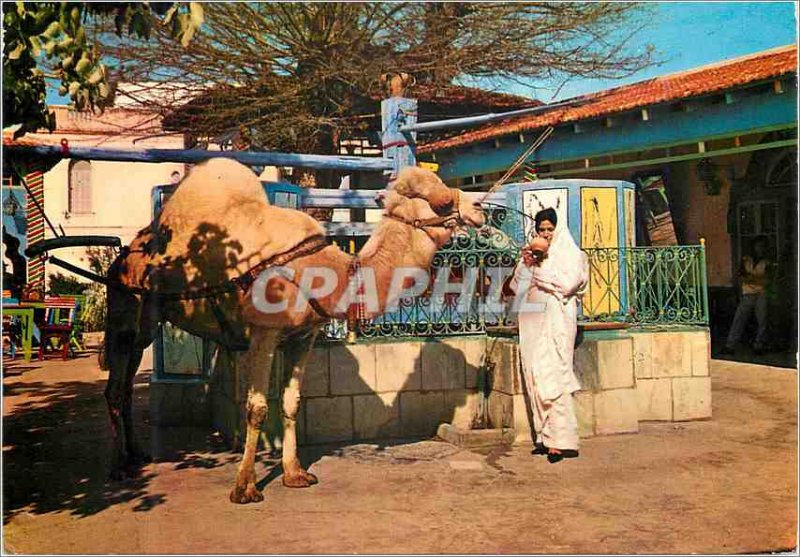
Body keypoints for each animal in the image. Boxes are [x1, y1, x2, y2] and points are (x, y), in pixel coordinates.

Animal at [103, 159, 484, 502]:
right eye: (442, 203)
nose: (479, 208)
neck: (329, 274)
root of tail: (123, 255)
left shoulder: (303, 336)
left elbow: (291, 401)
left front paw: (295, 473)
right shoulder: (264, 331)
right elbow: (257, 407)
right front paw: (245, 487)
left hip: (144, 326)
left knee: (126, 383)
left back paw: (136, 455)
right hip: (125, 310)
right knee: (115, 387)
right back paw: (119, 465)